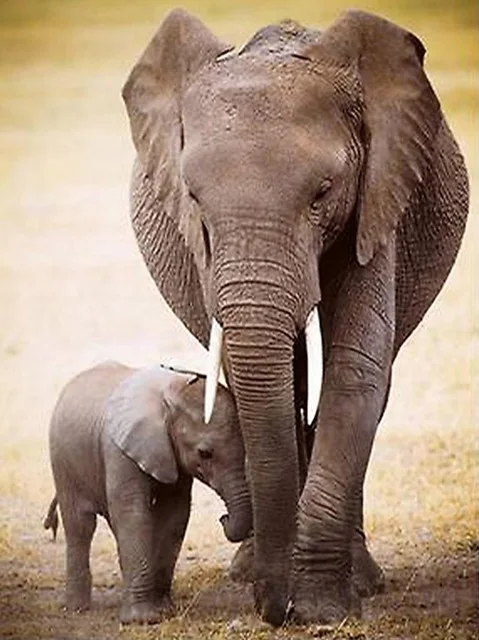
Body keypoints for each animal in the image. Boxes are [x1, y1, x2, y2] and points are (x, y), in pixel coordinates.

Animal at [45, 361, 252, 625]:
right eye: (205, 453)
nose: (223, 518)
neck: (171, 393)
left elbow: (174, 513)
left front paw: (164, 610)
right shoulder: (119, 450)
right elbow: (133, 513)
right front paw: (142, 620)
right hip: (62, 460)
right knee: (80, 525)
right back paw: (76, 608)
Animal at [121, 9, 469, 626]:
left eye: (323, 193)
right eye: (193, 198)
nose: (273, 608)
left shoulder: (378, 196)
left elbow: (356, 367)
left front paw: (323, 609)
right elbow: (263, 376)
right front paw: (287, 592)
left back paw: (361, 579)